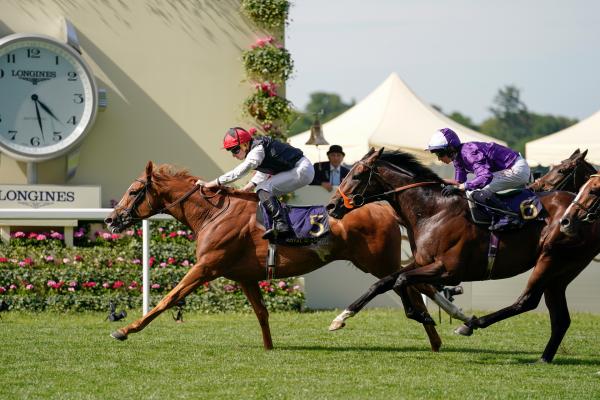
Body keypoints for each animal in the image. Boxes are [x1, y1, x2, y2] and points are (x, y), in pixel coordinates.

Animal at [104, 161, 468, 352]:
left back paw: (438, 331)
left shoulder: (206, 267)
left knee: (412, 288)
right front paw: (269, 347)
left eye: (134, 191)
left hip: (379, 263)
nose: (111, 219)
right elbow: (262, 313)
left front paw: (126, 330)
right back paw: (443, 329)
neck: (213, 213)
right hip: (383, 264)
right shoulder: (244, 276)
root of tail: (385, 208)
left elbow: (168, 299)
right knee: (416, 287)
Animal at [326, 148, 600, 362]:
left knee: (527, 301)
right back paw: (544, 358)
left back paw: (470, 325)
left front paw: (422, 315)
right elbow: (383, 282)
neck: (433, 210)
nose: (331, 205)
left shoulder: (448, 270)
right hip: (562, 272)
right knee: (560, 318)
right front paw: (340, 318)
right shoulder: (422, 262)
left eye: (357, 175)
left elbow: (401, 281)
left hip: (551, 260)